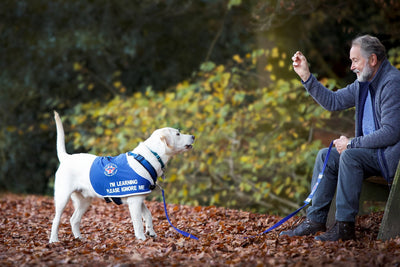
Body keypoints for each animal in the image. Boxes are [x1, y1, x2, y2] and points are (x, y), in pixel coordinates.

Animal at [49, 112, 195, 244]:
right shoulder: (134, 201)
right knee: (56, 220)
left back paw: (79, 238)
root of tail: (66, 157)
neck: (149, 157)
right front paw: (141, 239)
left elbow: (148, 215)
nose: (193, 136)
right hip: (62, 197)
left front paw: (151, 232)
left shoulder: (139, 197)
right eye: (178, 134)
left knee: (74, 219)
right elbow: (138, 223)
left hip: (84, 201)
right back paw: (54, 240)